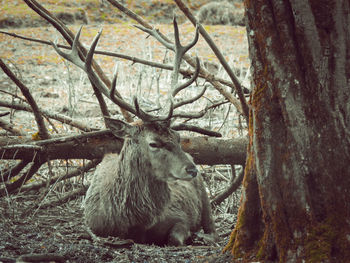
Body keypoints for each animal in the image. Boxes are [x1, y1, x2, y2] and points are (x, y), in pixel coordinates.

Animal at [51, 17, 217, 246]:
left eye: (178, 137)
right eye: (153, 143)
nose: (192, 170)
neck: (133, 222)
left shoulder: (181, 216)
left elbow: (175, 237)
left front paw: (191, 236)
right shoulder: (93, 224)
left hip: (206, 200)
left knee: (212, 226)